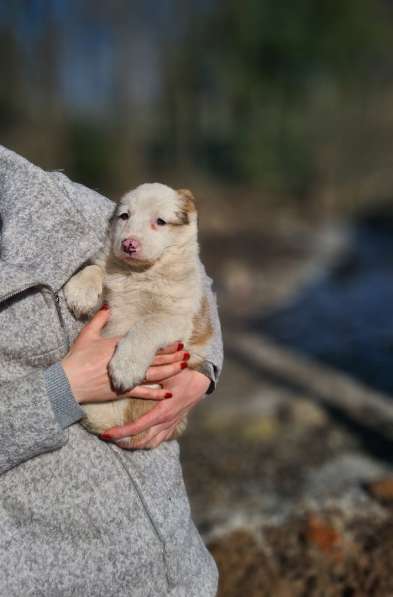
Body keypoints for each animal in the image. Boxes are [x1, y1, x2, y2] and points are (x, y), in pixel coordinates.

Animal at [64, 184, 211, 444]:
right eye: (125, 216)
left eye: (160, 221)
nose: (128, 244)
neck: (138, 274)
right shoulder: (110, 291)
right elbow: (96, 268)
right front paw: (81, 291)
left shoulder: (177, 319)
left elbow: (146, 325)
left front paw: (125, 367)